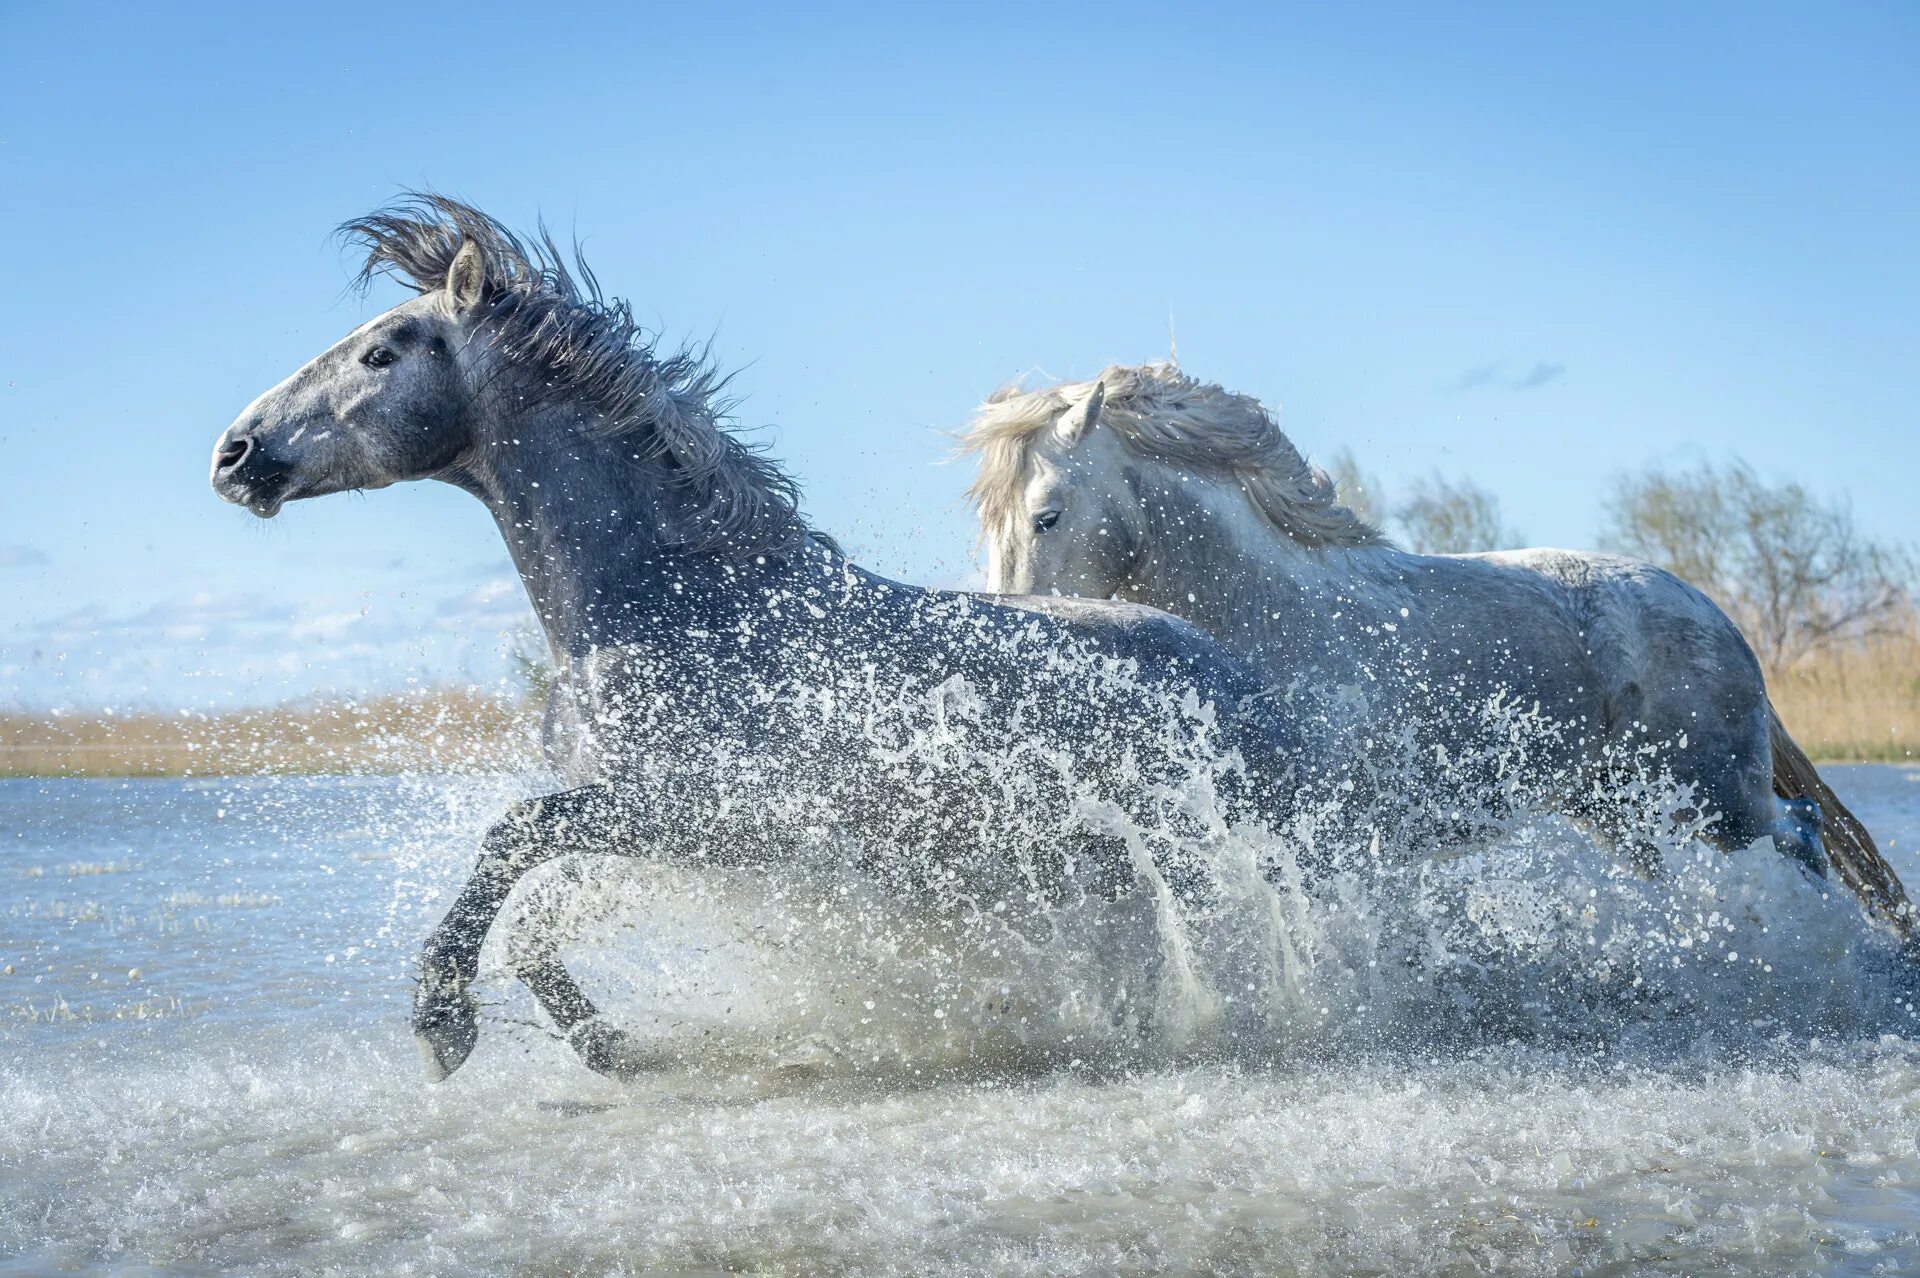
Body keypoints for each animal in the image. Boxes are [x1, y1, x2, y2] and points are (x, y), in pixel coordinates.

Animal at [206, 196, 1320, 1074]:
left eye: (380, 351)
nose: (233, 453)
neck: (675, 612)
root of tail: (1238, 675)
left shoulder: (698, 819)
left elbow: (512, 837)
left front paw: (440, 1022)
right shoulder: (647, 829)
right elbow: (531, 927)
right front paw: (613, 1048)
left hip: (1186, 857)